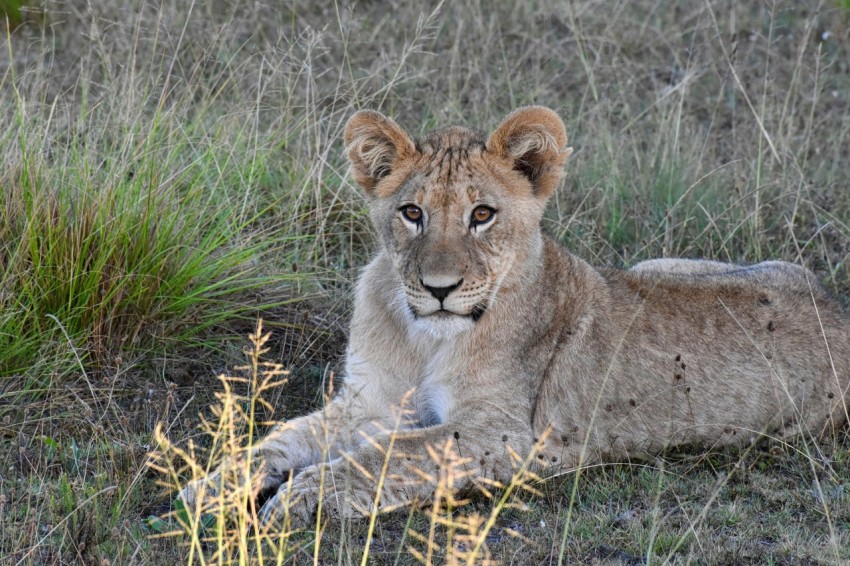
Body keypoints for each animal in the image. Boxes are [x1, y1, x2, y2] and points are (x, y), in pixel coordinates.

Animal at [179, 106, 850, 526]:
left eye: (482, 215)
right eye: (412, 213)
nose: (439, 288)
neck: (426, 337)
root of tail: (835, 308)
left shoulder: (508, 434)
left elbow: (393, 452)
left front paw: (300, 499)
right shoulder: (369, 400)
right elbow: (281, 437)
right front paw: (210, 485)